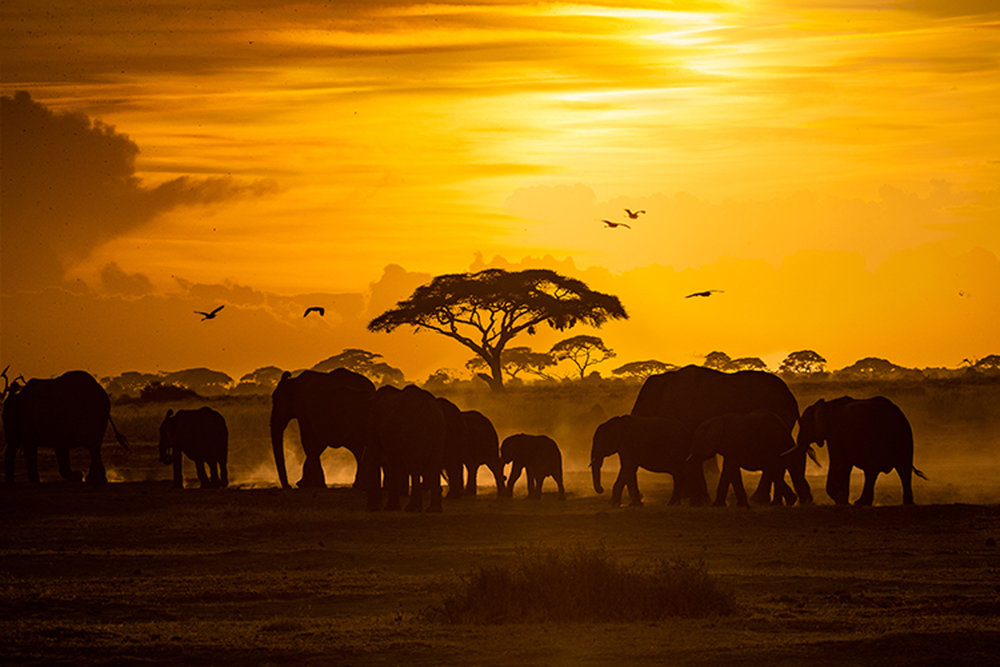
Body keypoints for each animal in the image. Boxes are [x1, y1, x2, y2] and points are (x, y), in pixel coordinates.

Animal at [632, 368, 812, 504]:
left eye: (641, 411)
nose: (641, 496)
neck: (664, 380)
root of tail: (792, 398)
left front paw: (695, 498)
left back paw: (759, 499)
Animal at [796, 396, 928, 506]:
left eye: (803, 425)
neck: (827, 404)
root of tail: (897, 416)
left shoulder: (835, 435)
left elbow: (839, 463)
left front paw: (840, 500)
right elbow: (845, 466)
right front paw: (842, 500)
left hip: (878, 439)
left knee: (873, 471)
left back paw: (860, 503)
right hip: (905, 437)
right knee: (903, 469)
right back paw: (907, 503)